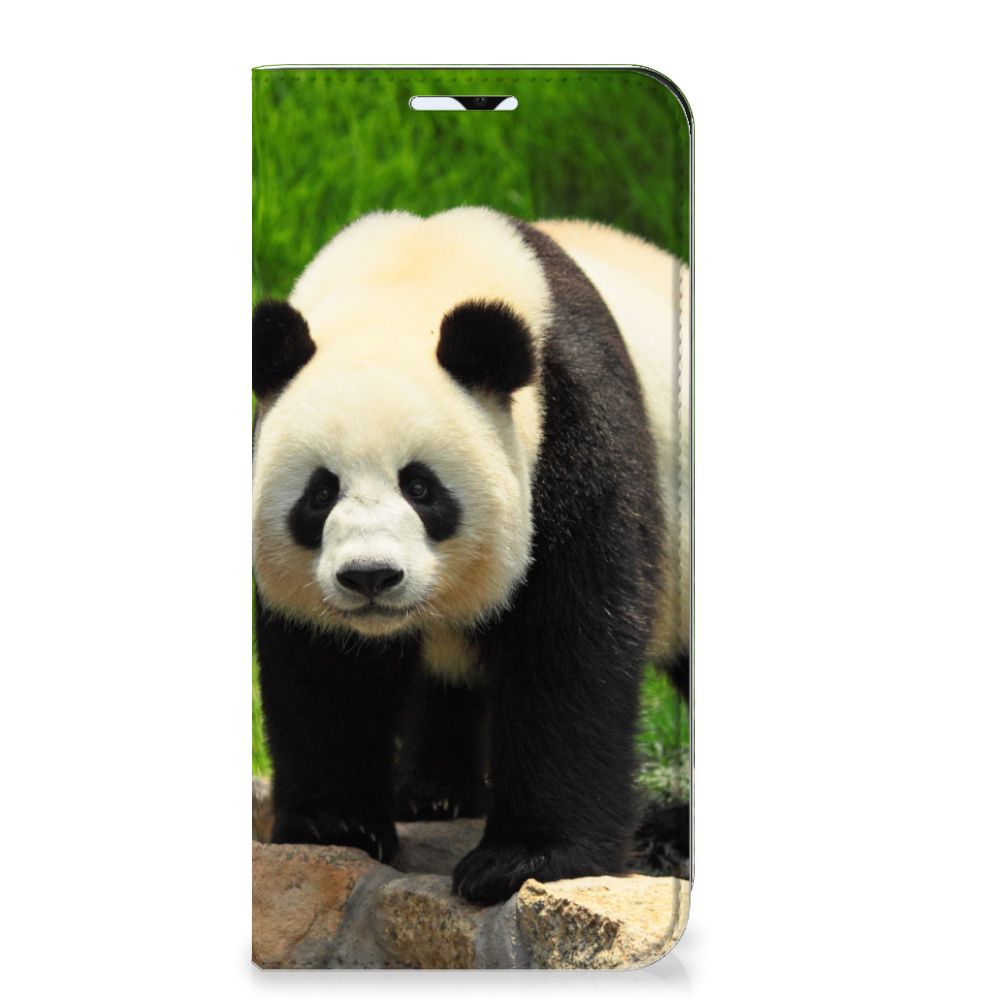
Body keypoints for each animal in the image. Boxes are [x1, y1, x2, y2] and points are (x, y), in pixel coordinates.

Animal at [252, 206, 690, 905]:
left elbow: (570, 641)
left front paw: (524, 860)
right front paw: (334, 824)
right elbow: (325, 666)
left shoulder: (574, 427)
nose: (370, 577)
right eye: (320, 492)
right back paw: (434, 793)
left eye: (421, 487)